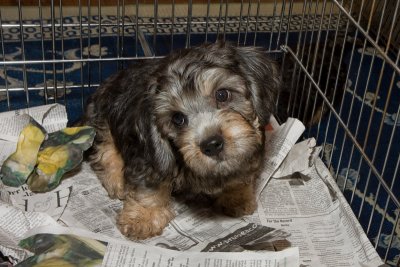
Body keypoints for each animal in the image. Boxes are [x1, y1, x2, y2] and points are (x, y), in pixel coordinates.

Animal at [83, 42, 280, 241]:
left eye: (222, 94)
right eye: (177, 118)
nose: (211, 145)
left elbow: (242, 174)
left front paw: (237, 196)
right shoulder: (149, 157)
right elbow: (148, 187)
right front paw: (143, 217)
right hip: (103, 113)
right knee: (104, 145)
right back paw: (115, 179)